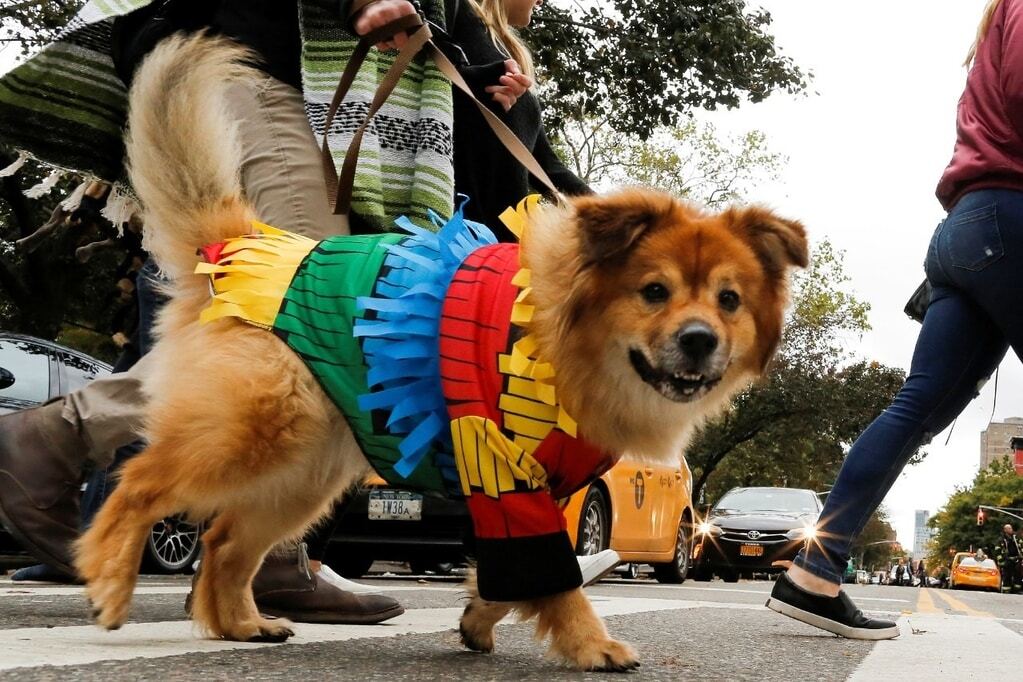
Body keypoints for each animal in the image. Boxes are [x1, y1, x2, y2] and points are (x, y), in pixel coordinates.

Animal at [72, 34, 806, 670]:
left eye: (729, 300)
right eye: (654, 291)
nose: (699, 340)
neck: (570, 338)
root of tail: (245, 247)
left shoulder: (531, 489)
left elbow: (513, 575)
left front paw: (479, 620)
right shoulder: (503, 469)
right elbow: (556, 577)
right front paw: (590, 644)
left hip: (306, 470)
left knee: (226, 541)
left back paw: (241, 623)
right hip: (251, 430)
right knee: (139, 483)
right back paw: (110, 583)